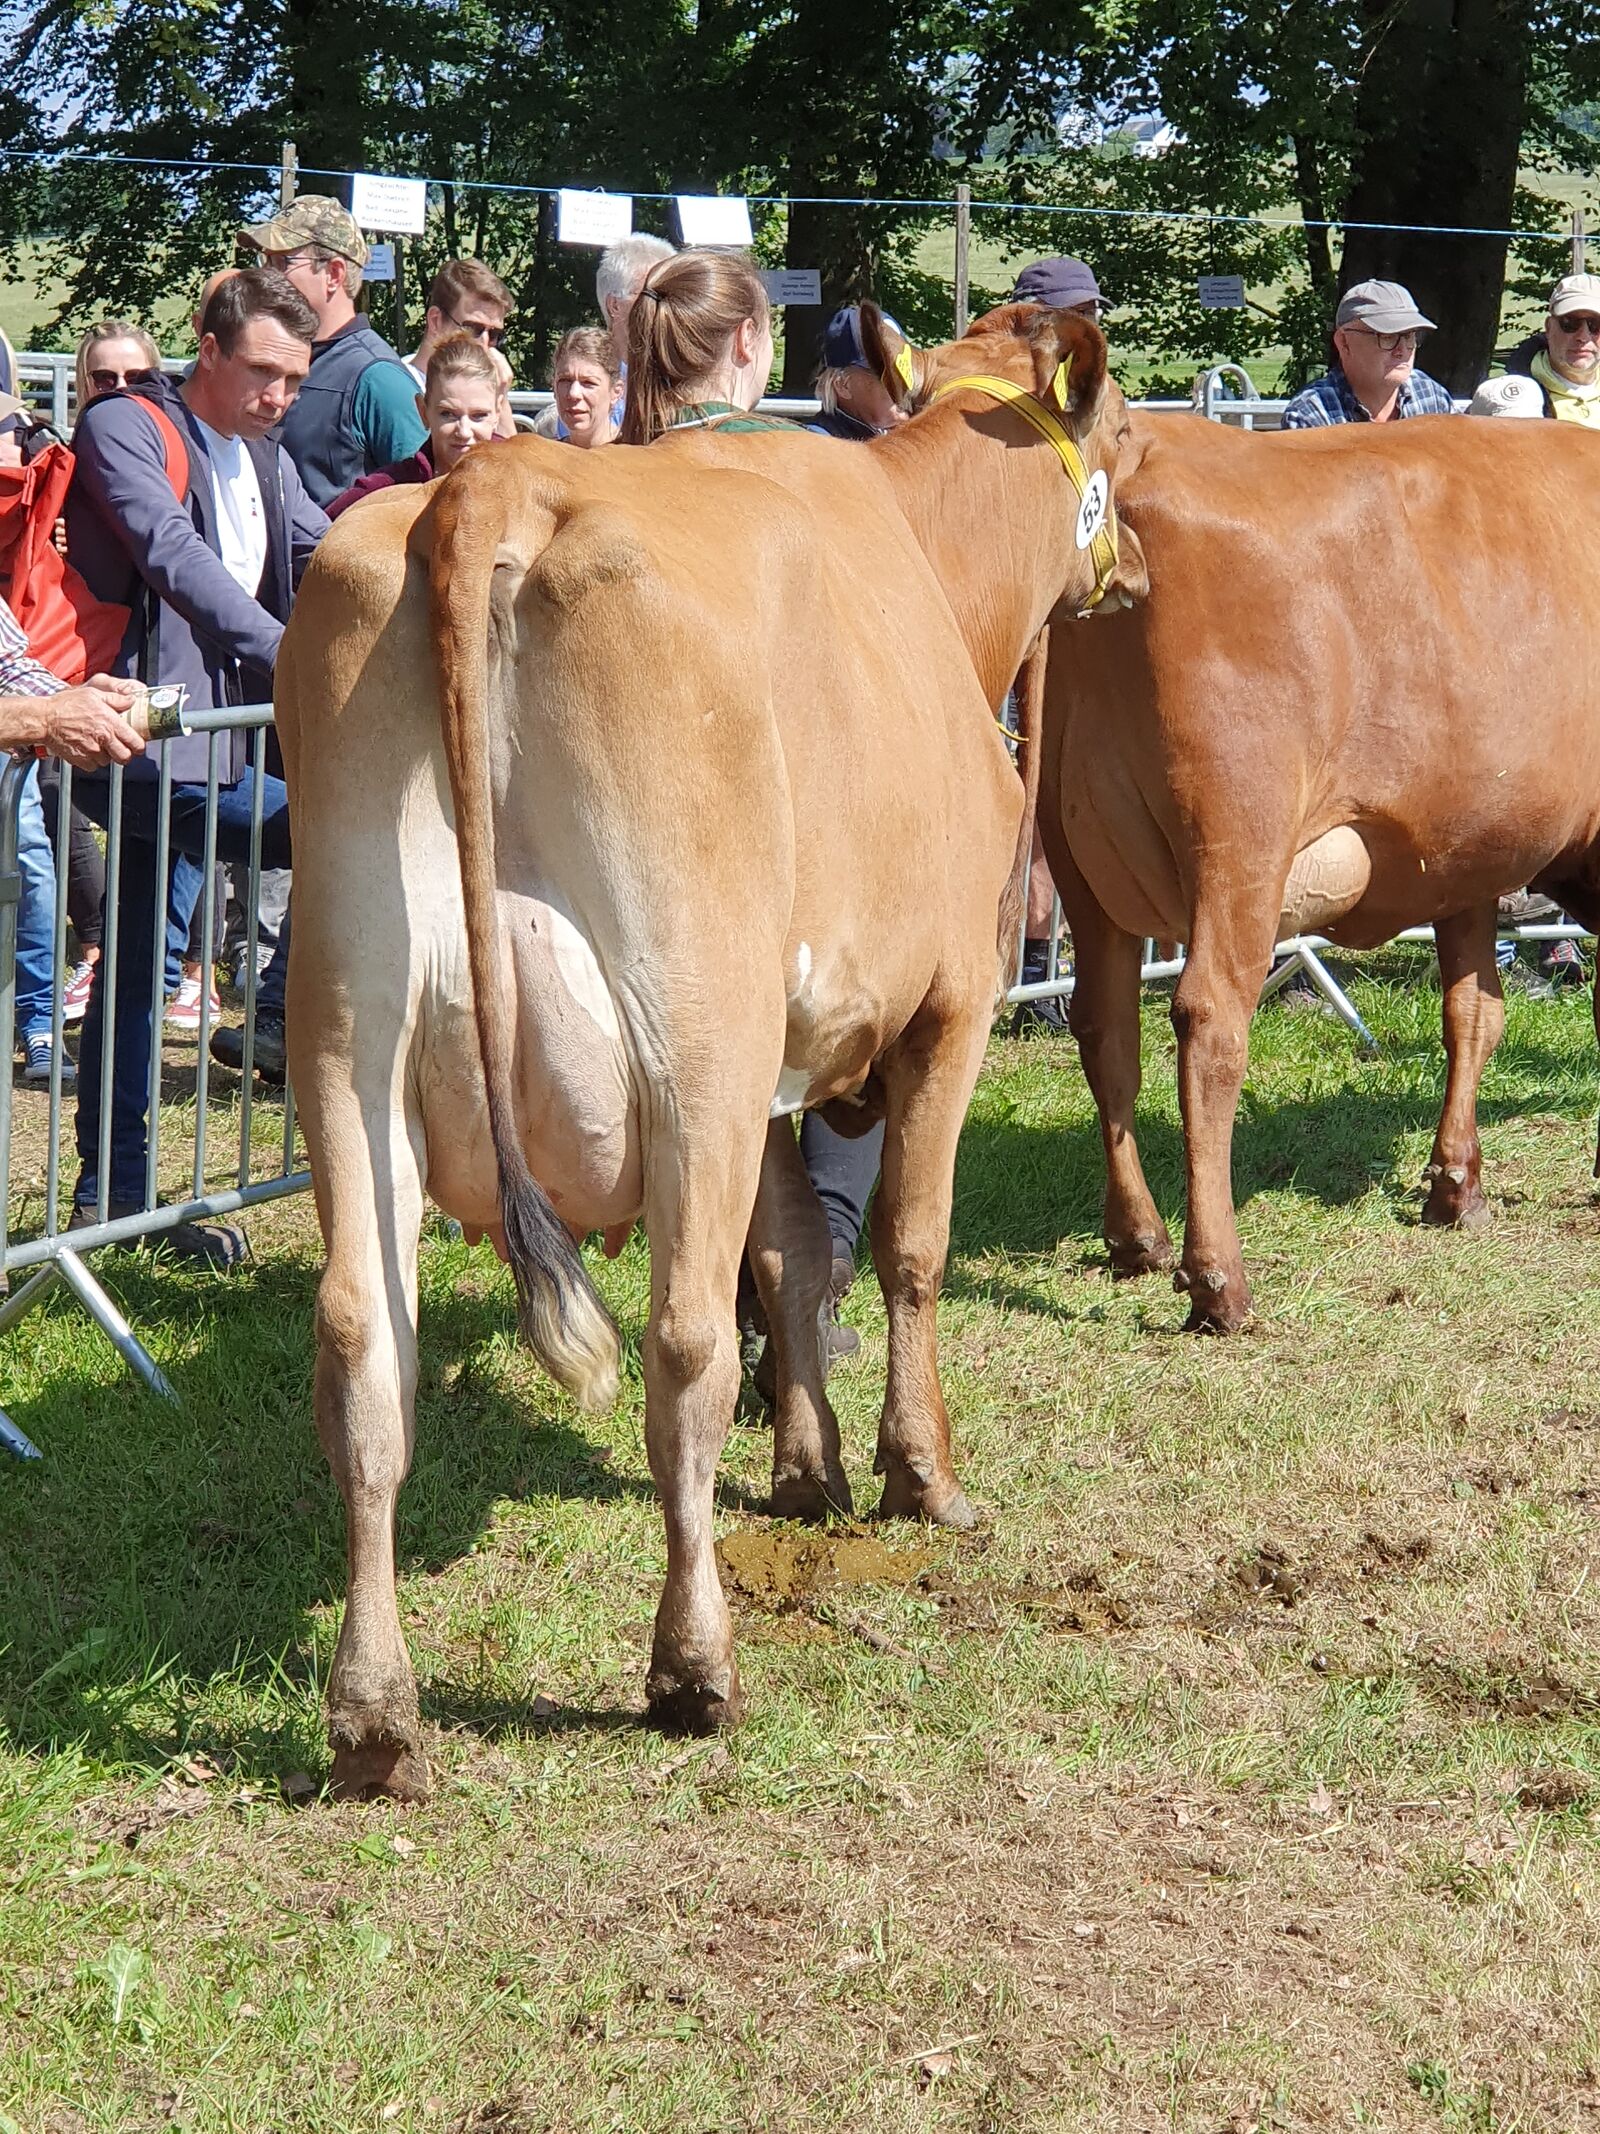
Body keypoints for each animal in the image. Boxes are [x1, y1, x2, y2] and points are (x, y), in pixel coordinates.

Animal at [279, 305, 1152, 1801]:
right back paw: (694, 1664)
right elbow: (907, 1245)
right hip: (695, 1026)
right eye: (1126, 433)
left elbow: (794, 1251)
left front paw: (807, 1466)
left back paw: (376, 1713)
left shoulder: (783, 1069)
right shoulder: (950, 1002)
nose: (1140, 568)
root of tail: (497, 480)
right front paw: (918, 1472)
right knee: (681, 1341)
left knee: (363, 1345)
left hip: (351, 1035)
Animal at [1041, 405, 1600, 1323]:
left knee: (1104, 1023)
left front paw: (1456, 1187)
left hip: (1076, 854)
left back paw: (1138, 1239)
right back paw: (1218, 1279)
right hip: (1239, 843)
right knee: (1208, 1023)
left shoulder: (1463, 856)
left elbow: (1473, 1014)